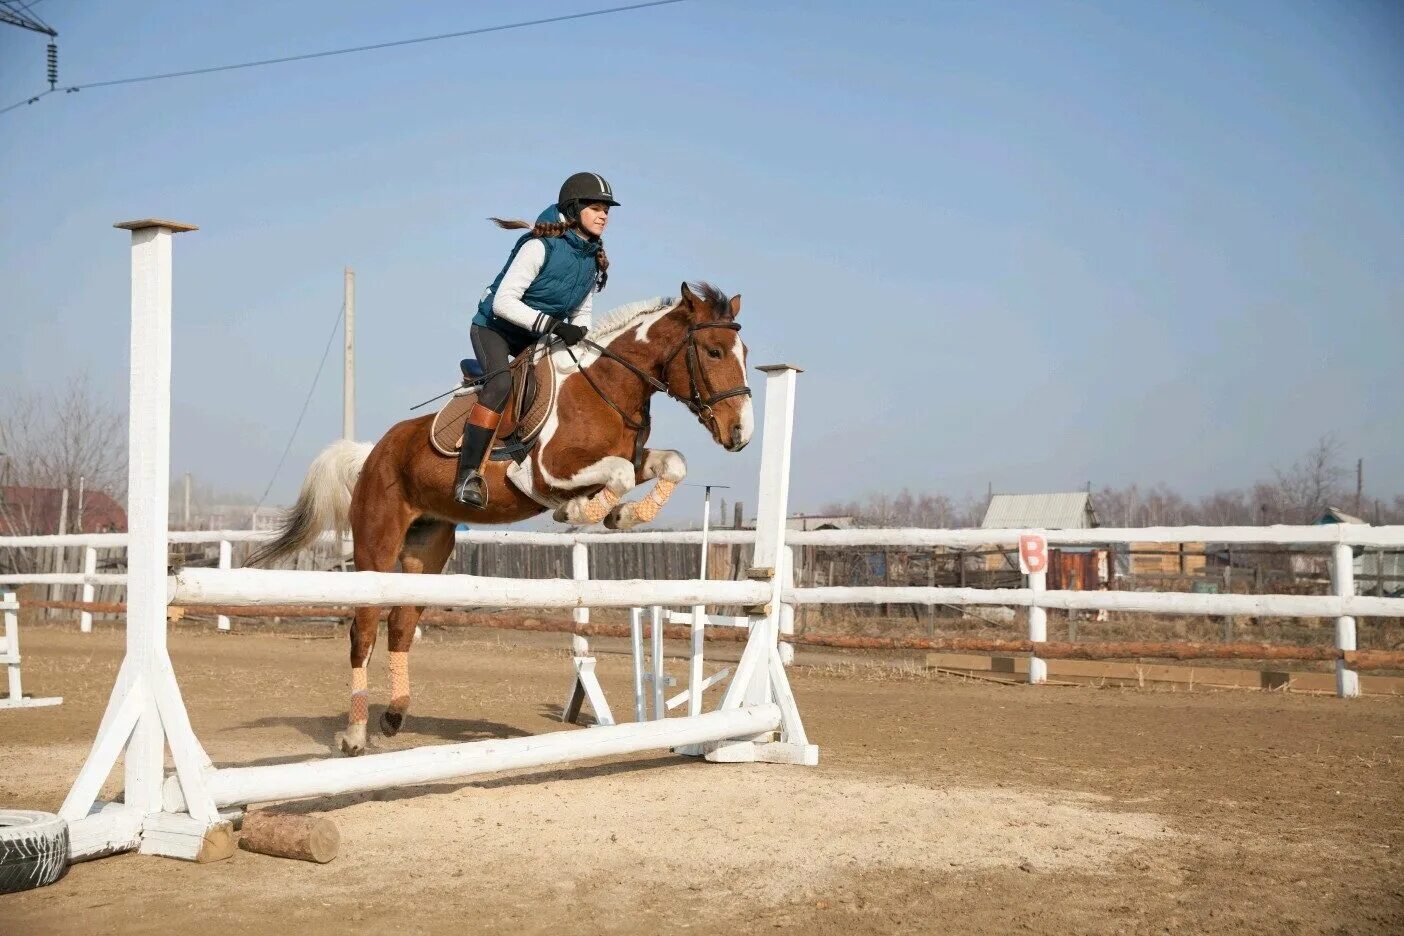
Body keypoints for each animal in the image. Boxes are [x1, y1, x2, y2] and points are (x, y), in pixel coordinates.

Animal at [252, 283, 758, 752]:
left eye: (745, 353)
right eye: (713, 351)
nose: (741, 433)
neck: (608, 389)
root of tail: (372, 452)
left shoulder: (635, 460)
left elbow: (672, 464)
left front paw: (621, 515)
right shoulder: (547, 469)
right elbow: (612, 473)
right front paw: (581, 509)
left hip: (426, 550)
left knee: (401, 625)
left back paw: (394, 716)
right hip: (376, 546)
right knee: (364, 630)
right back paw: (355, 736)